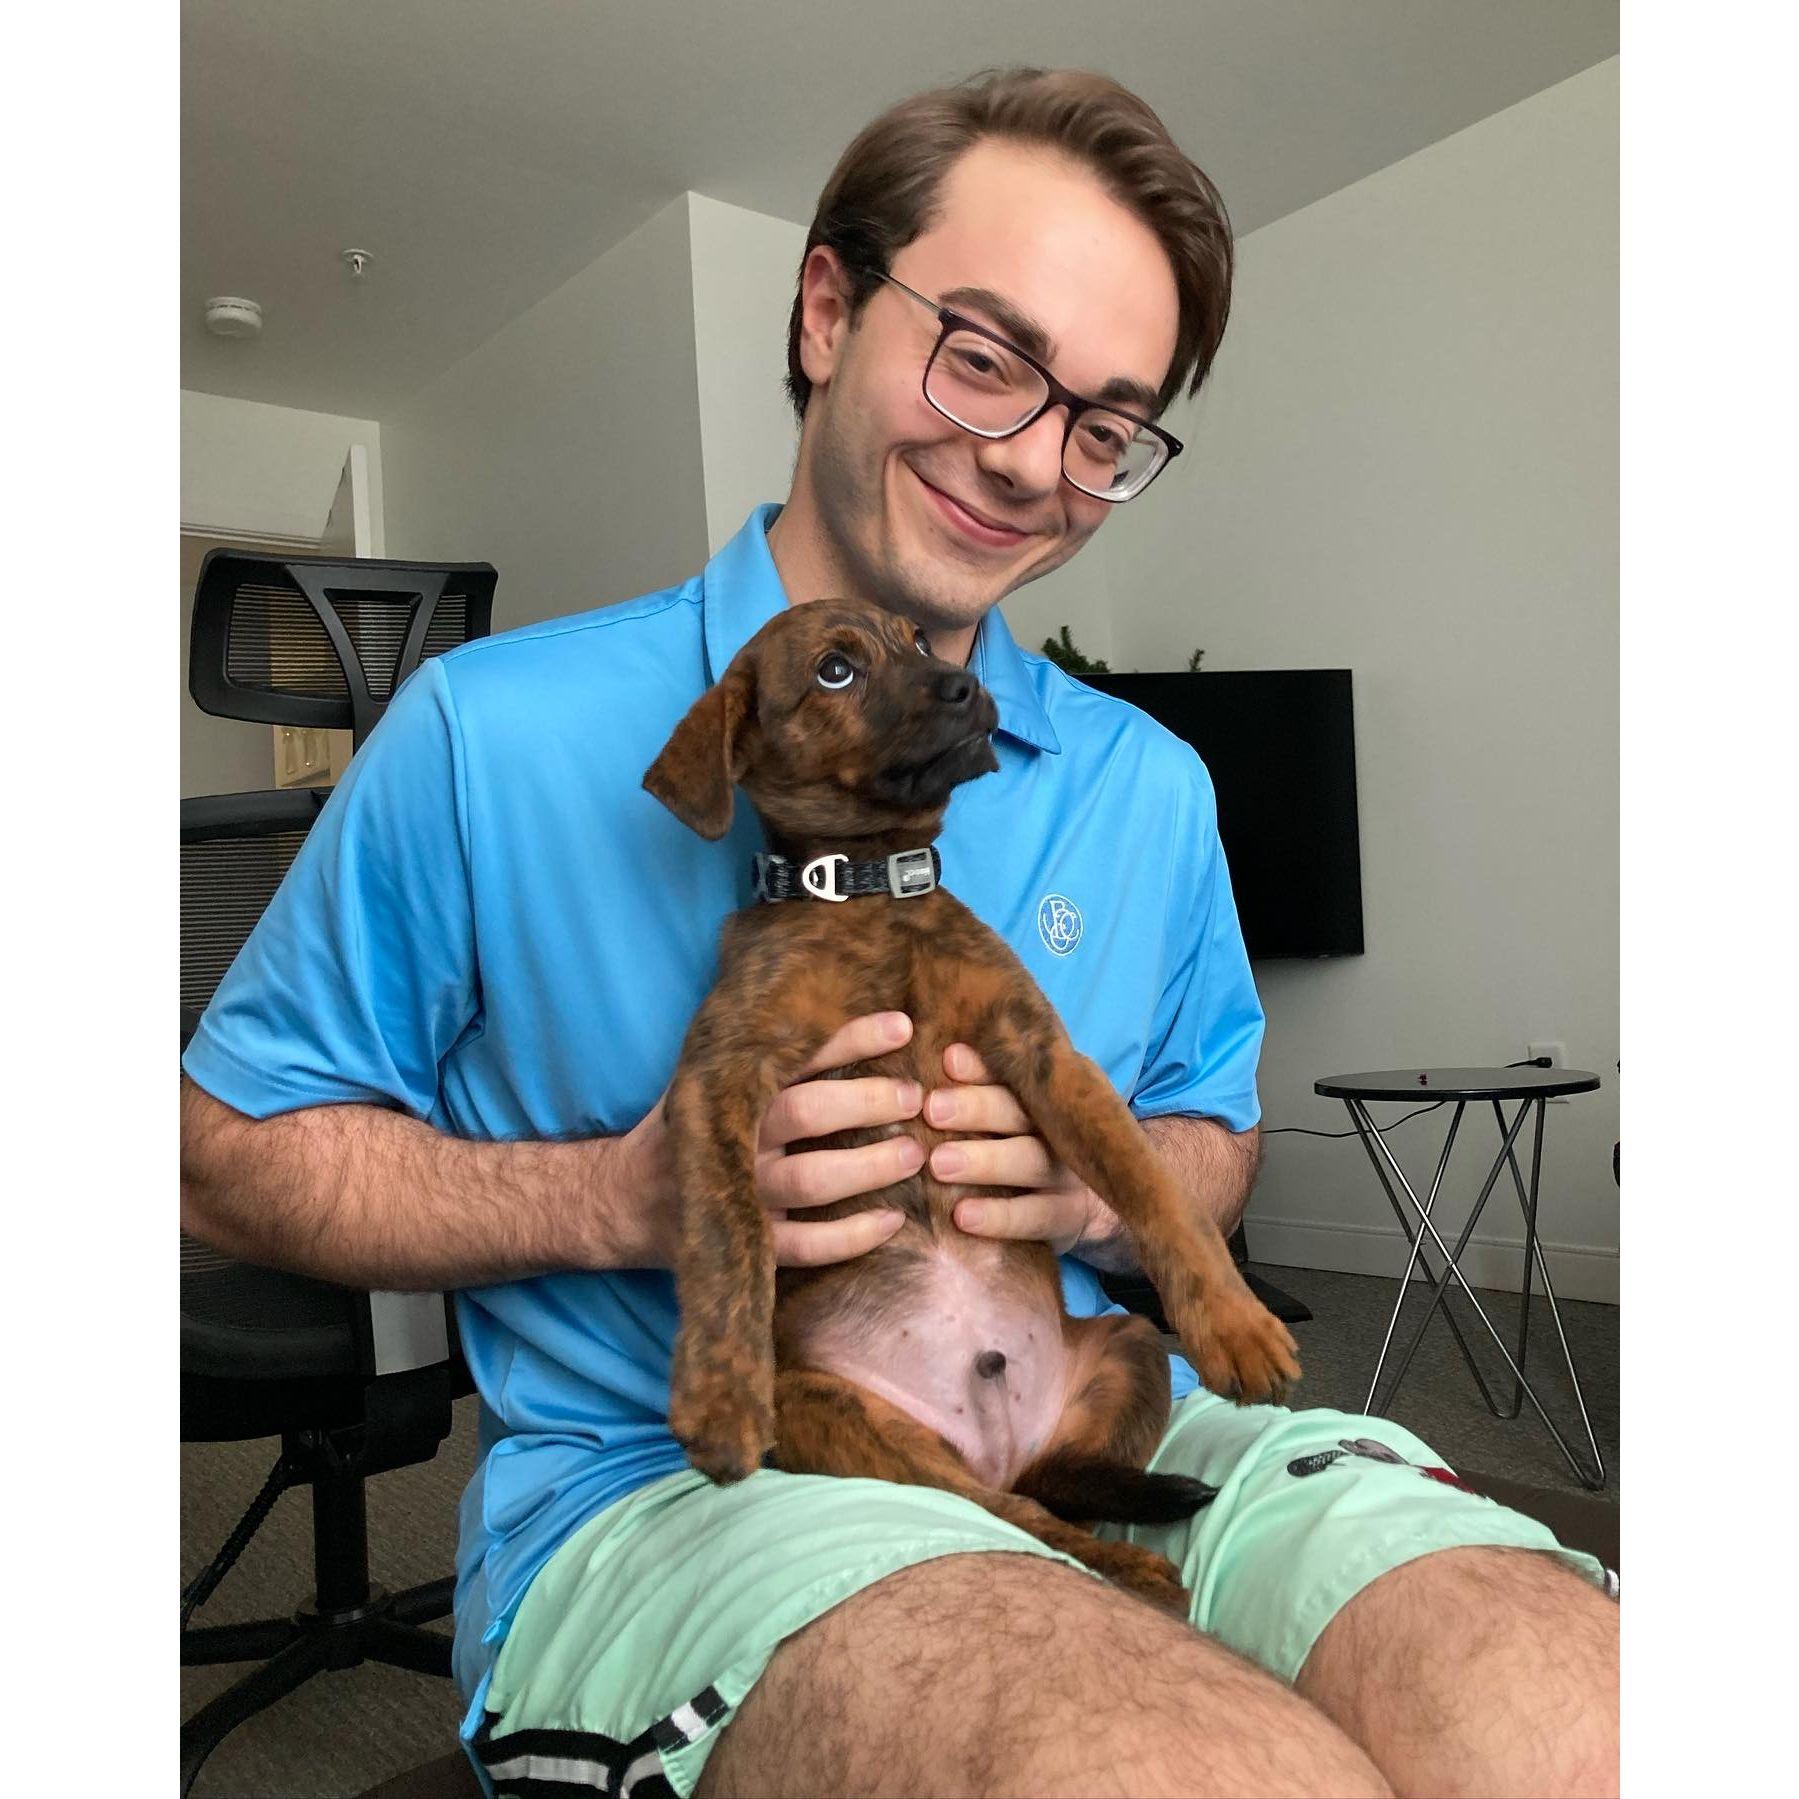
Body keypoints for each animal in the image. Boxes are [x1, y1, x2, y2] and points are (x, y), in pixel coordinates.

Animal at [642, 596, 1300, 1610]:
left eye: (917, 639)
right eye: (835, 669)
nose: (963, 685)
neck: (872, 892)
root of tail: (994, 1441)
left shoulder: (1043, 1055)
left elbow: (1156, 1195)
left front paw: (1235, 1325)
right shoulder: (720, 1078)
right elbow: (729, 1231)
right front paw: (717, 1393)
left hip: (1128, 1343)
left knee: (1047, 1481)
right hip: (849, 1423)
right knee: (1014, 1512)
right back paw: (1128, 1565)